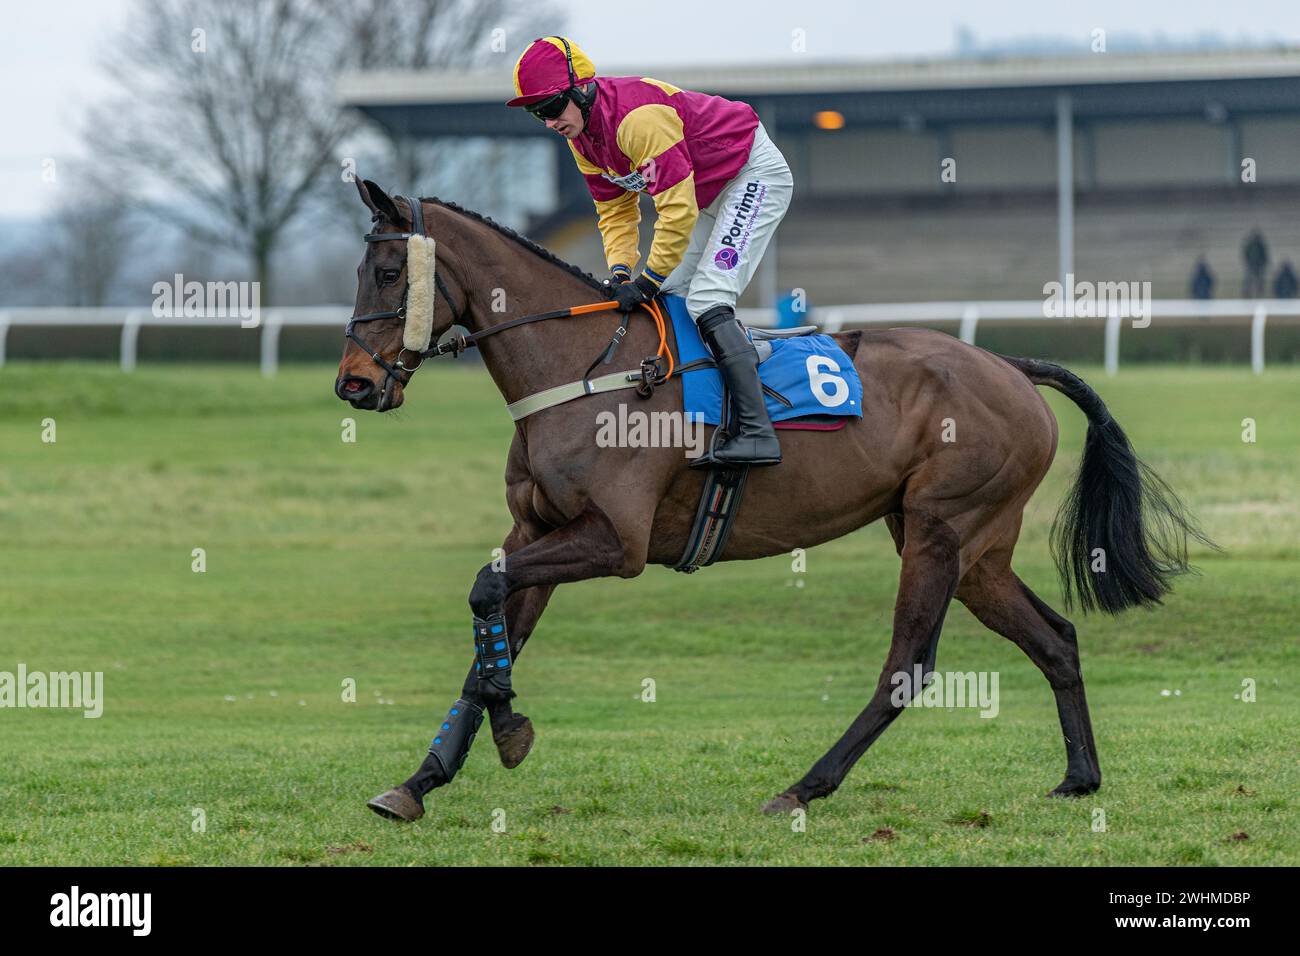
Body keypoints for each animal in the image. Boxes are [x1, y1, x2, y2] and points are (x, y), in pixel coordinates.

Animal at [335, 180, 1206, 822]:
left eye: (389, 273)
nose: (355, 384)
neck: (584, 367)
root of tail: (1012, 367)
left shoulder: (614, 542)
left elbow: (486, 593)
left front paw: (506, 729)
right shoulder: (537, 531)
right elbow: (492, 626)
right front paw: (421, 778)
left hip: (942, 529)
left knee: (907, 665)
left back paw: (805, 786)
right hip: (977, 549)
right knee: (1055, 639)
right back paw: (1080, 776)